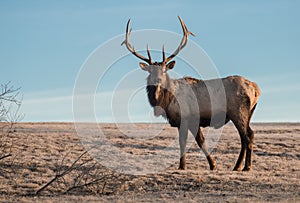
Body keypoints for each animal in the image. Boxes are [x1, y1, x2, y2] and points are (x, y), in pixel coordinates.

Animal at [122, 16, 260, 171]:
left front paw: (183, 166)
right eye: (150, 71)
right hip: (248, 112)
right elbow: (200, 141)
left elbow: (186, 142)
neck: (166, 102)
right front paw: (211, 165)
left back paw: (246, 167)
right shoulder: (192, 121)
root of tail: (256, 88)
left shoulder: (186, 117)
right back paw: (237, 166)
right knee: (247, 136)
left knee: (247, 136)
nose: (157, 80)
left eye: (164, 70)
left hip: (238, 112)